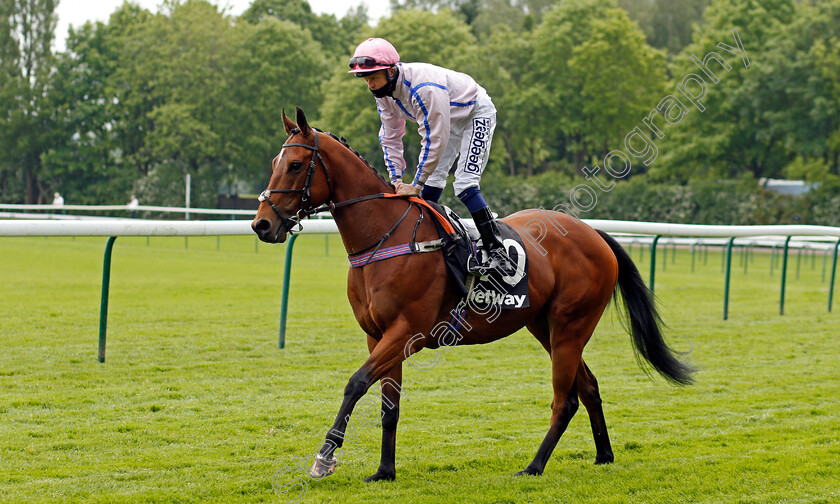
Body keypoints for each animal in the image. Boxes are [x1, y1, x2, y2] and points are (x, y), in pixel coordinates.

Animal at [251, 108, 696, 482]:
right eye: (273, 164)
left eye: (294, 165)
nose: (261, 224)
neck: (386, 238)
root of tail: (594, 234)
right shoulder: (377, 335)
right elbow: (389, 407)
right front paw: (384, 471)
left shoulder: (407, 332)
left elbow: (356, 383)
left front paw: (324, 458)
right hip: (545, 327)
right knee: (587, 387)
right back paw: (603, 455)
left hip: (572, 325)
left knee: (565, 399)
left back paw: (534, 465)